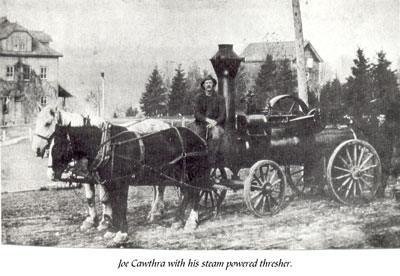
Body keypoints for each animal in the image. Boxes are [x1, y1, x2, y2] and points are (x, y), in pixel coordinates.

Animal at [34, 105, 170, 233]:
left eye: (47, 123)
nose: (36, 149)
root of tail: (165, 124)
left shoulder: (102, 177)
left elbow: (105, 199)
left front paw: (105, 221)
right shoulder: (88, 177)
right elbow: (90, 197)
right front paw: (90, 221)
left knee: (160, 188)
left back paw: (156, 213)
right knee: (156, 188)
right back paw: (154, 210)